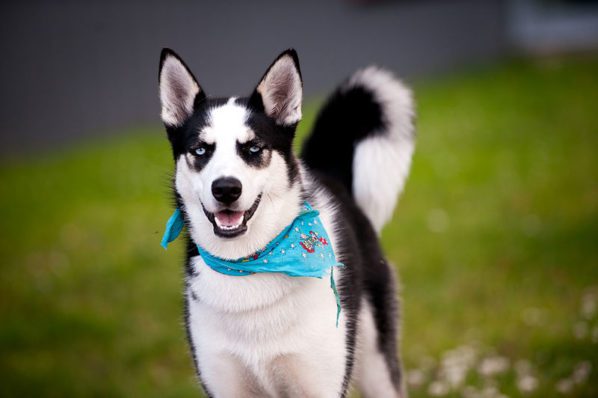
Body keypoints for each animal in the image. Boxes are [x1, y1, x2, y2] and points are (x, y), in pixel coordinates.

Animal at [159, 48, 418, 396]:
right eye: (200, 150)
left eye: (253, 148)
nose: (226, 189)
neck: (249, 264)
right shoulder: (225, 385)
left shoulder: (320, 385)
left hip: (377, 367)